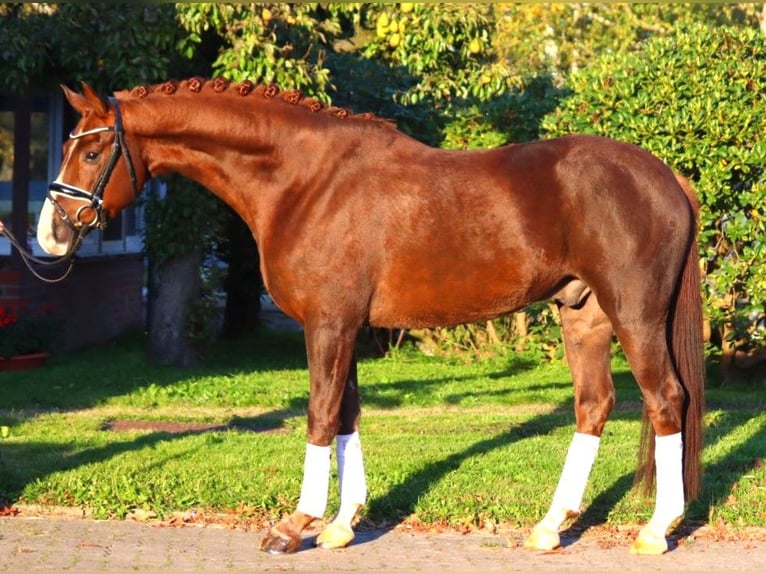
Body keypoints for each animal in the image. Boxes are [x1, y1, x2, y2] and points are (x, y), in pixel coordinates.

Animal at [39, 79, 704, 556]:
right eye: (68, 145)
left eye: (93, 150)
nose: (52, 234)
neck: (305, 179)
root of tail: (666, 174)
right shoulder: (345, 325)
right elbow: (347, 414)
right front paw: (340, 525)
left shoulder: (327, 323)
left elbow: (319, 413)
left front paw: (296, 525)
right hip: (583, 314)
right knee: (594, 405)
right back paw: (549, 527)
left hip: (635, 316)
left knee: (666, 399)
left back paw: (656, 529)